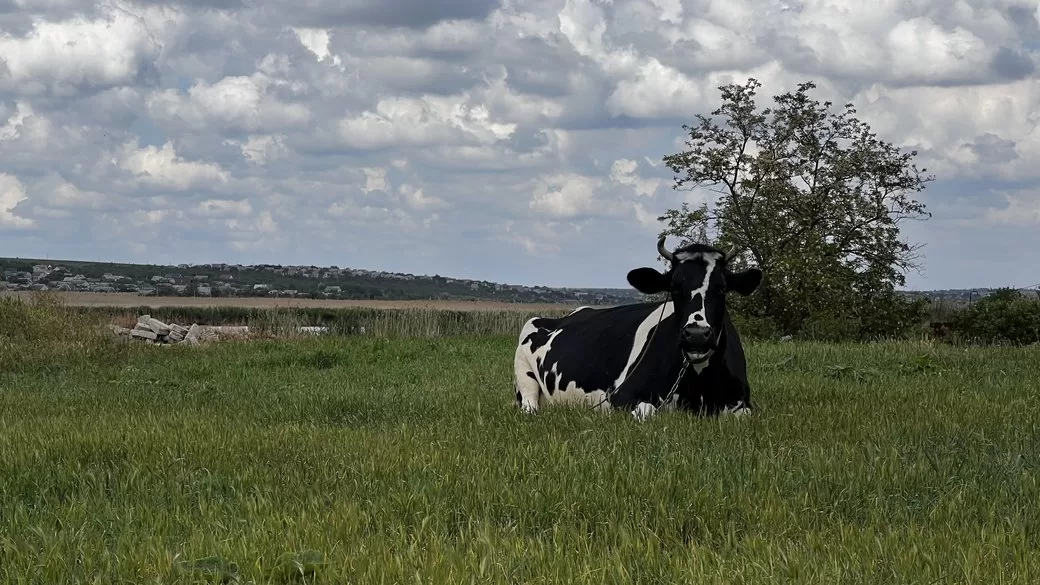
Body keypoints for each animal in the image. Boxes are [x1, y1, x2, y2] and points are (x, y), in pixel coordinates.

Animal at [512, 236, 763, 420]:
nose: (697, 335)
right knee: (529, 405)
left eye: (721, 288)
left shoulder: (742, 403)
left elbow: (742, 416)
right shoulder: (621, 396)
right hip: (523, 372)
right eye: (674, 287)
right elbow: (648, 412)